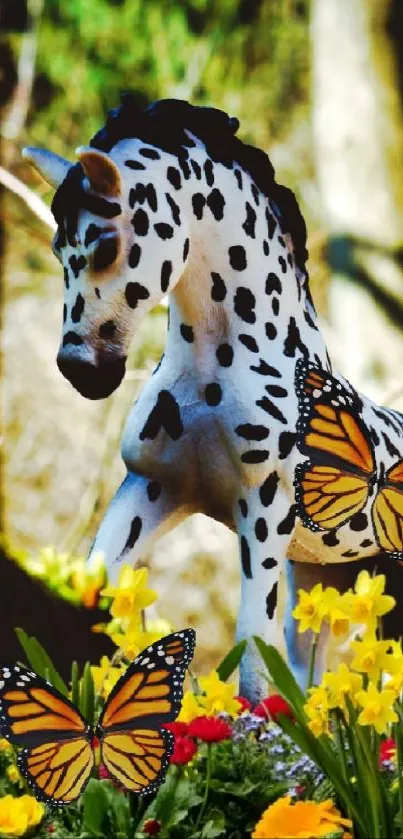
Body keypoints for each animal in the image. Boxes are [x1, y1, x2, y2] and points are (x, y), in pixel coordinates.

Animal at [22, 97, 403, 704]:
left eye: (106, 243)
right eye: (60, 248)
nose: (83, 370)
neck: (215, 372)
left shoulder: (265, 511)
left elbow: (252, 658)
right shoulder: (154, 487)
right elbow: (94, 589)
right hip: (325, 578)